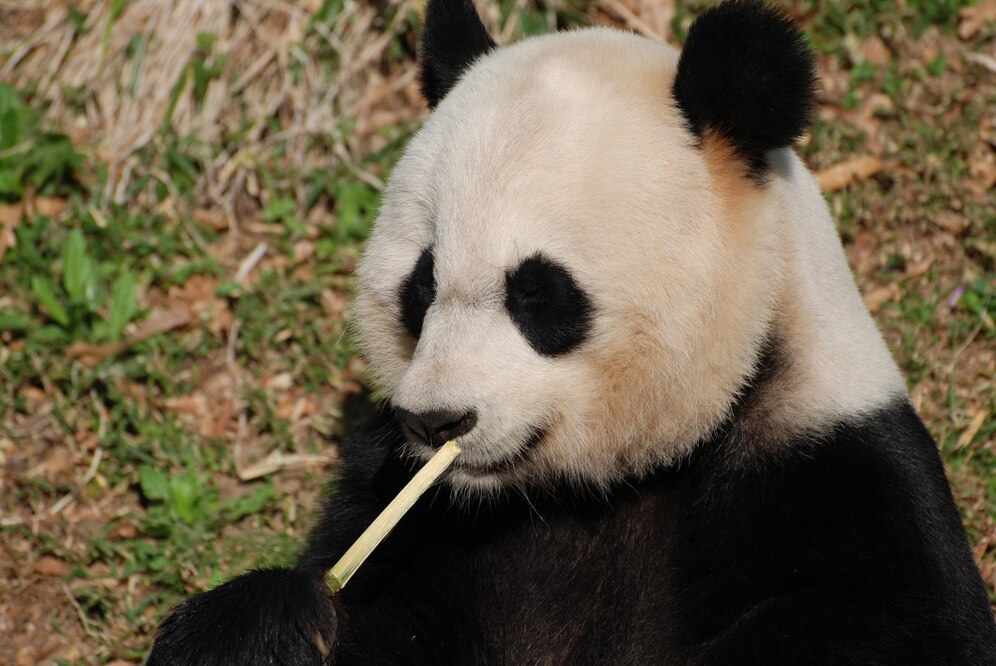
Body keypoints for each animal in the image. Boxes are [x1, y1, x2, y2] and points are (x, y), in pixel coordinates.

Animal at [148, 2, 996, 660]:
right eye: (421, 286)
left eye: (539, 294)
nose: (436, 421)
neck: (588, 491)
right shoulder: (410, 505)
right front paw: (263, 625)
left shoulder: (836, 469)